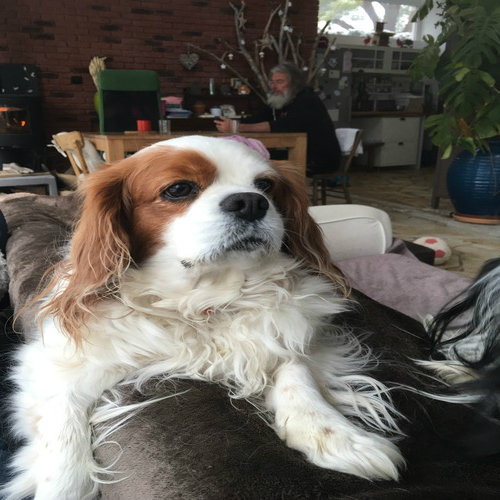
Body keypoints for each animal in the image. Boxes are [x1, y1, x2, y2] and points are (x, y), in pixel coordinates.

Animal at [2, 136, 404, 499]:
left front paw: (338, 435)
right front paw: (62, 486)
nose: (251, 202)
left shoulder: (296, 335)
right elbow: (62, 429)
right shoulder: (52, 362)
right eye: (179, 189)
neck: (201, 299)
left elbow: (296, 371)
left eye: (266, 186)